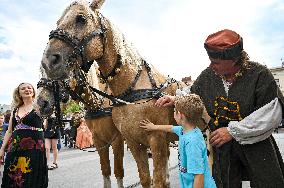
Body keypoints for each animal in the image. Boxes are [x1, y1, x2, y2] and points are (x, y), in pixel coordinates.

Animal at [40, 1, 207, 187]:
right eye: (58, 21)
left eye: (81, 19)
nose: (48, 61)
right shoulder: (126, 142)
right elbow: (135, 176)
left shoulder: (149, 139)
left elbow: (143, 177)